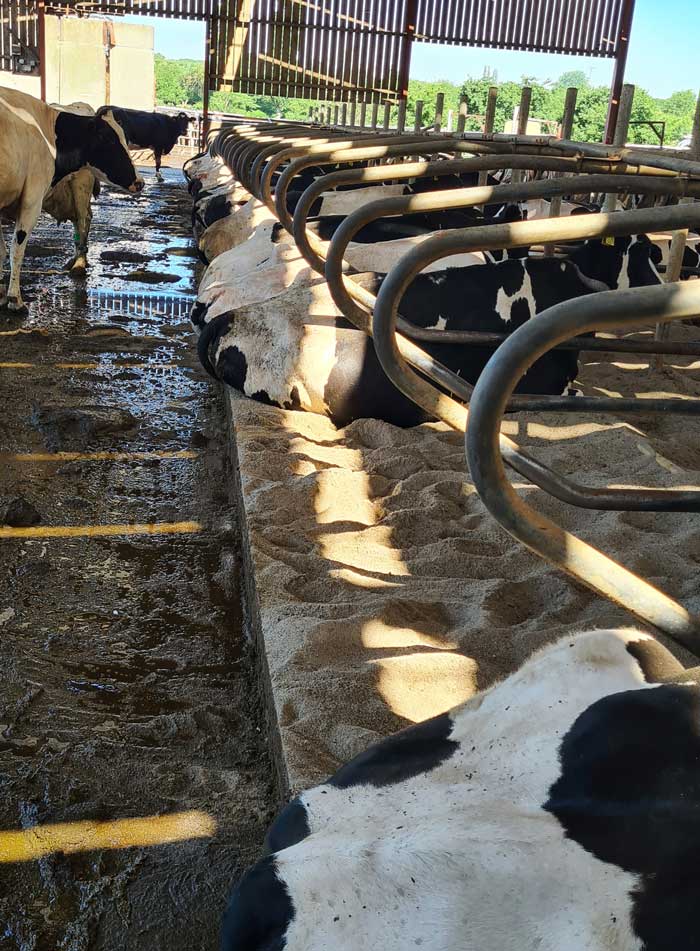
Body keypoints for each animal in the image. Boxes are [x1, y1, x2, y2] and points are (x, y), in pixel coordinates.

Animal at [0, 83, 142, 310]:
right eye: (110, 140)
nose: (139, 182)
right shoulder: (31, 199)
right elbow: (12, 249)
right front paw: (12, 297)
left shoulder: (31, 199)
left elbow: (12, 249)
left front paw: (12, 297)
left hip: (80, 187)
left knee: (83, 220)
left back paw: (79, 263)